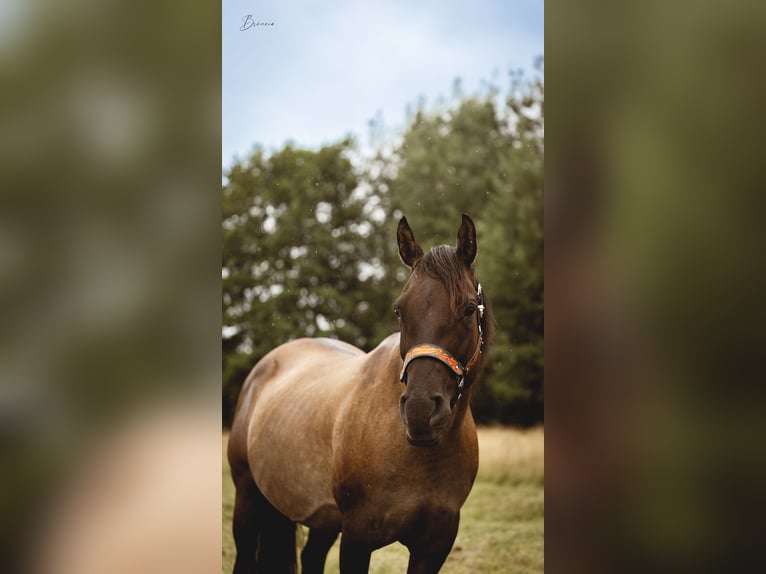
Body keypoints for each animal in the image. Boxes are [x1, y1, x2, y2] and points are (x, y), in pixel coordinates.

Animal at [227, 214, 495, 573]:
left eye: (468, 309)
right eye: (399, 310)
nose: (420, 412)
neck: (422, 456)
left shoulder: (435, 545)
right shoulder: (356, 536)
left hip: (322, 520)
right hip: (247, 496)